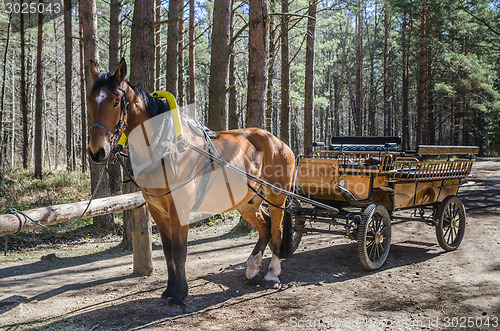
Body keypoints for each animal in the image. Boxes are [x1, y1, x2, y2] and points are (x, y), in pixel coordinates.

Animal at [87, 58, 296, 308]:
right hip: (248, 201)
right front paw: (169, 289)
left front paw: (180, 294)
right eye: (89, 100)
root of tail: (278, 142)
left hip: (276, 196)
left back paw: (272, 274)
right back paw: (253, 268)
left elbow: (179, 250)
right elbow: (167, 250)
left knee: (276, 229)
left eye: (116, 102)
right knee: (264, 227)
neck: (164, 145)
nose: (97, 151)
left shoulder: (180, 207)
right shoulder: (157, 209)